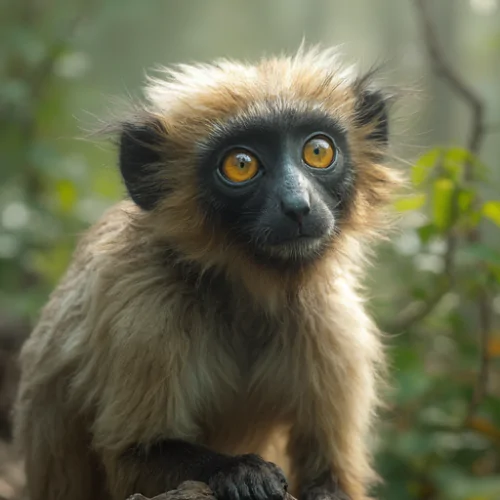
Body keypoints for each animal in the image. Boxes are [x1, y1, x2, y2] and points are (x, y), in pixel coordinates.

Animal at [12, 46, 402, 500]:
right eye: (241, 164)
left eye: (318, 152)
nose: (298, 207)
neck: (246, 296)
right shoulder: (145, 308)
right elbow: (131, 453)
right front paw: (241, 471)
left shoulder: (333, 322)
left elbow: (331, 474)